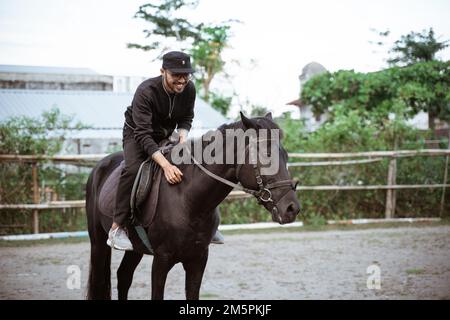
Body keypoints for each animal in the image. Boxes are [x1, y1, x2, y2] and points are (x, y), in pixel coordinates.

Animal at [86, 112, 300, 300]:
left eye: (286, 155)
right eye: (267, 155)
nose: (292, 208)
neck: (188, 200)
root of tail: (99, 167)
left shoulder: (198, 259)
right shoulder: (161, 260)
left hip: (136, 248)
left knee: (124, 277)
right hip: (98, 243)